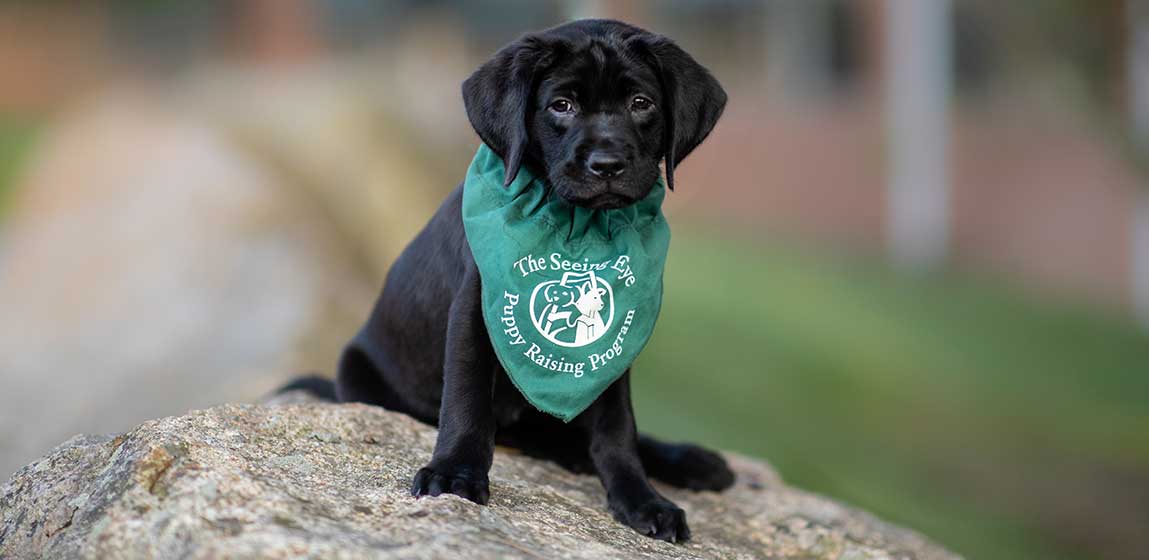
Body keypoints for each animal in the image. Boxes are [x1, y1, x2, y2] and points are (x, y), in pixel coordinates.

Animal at [291, 18, 730, 542]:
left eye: (641, 103)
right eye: (561, 105)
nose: (606, 165)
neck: (578, 227)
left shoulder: (616, 339)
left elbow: (618, 428)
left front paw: (641, 499)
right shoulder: (475, 311)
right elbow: (467, 400)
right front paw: (455, 473)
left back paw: (686, 460)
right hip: (361, 372)